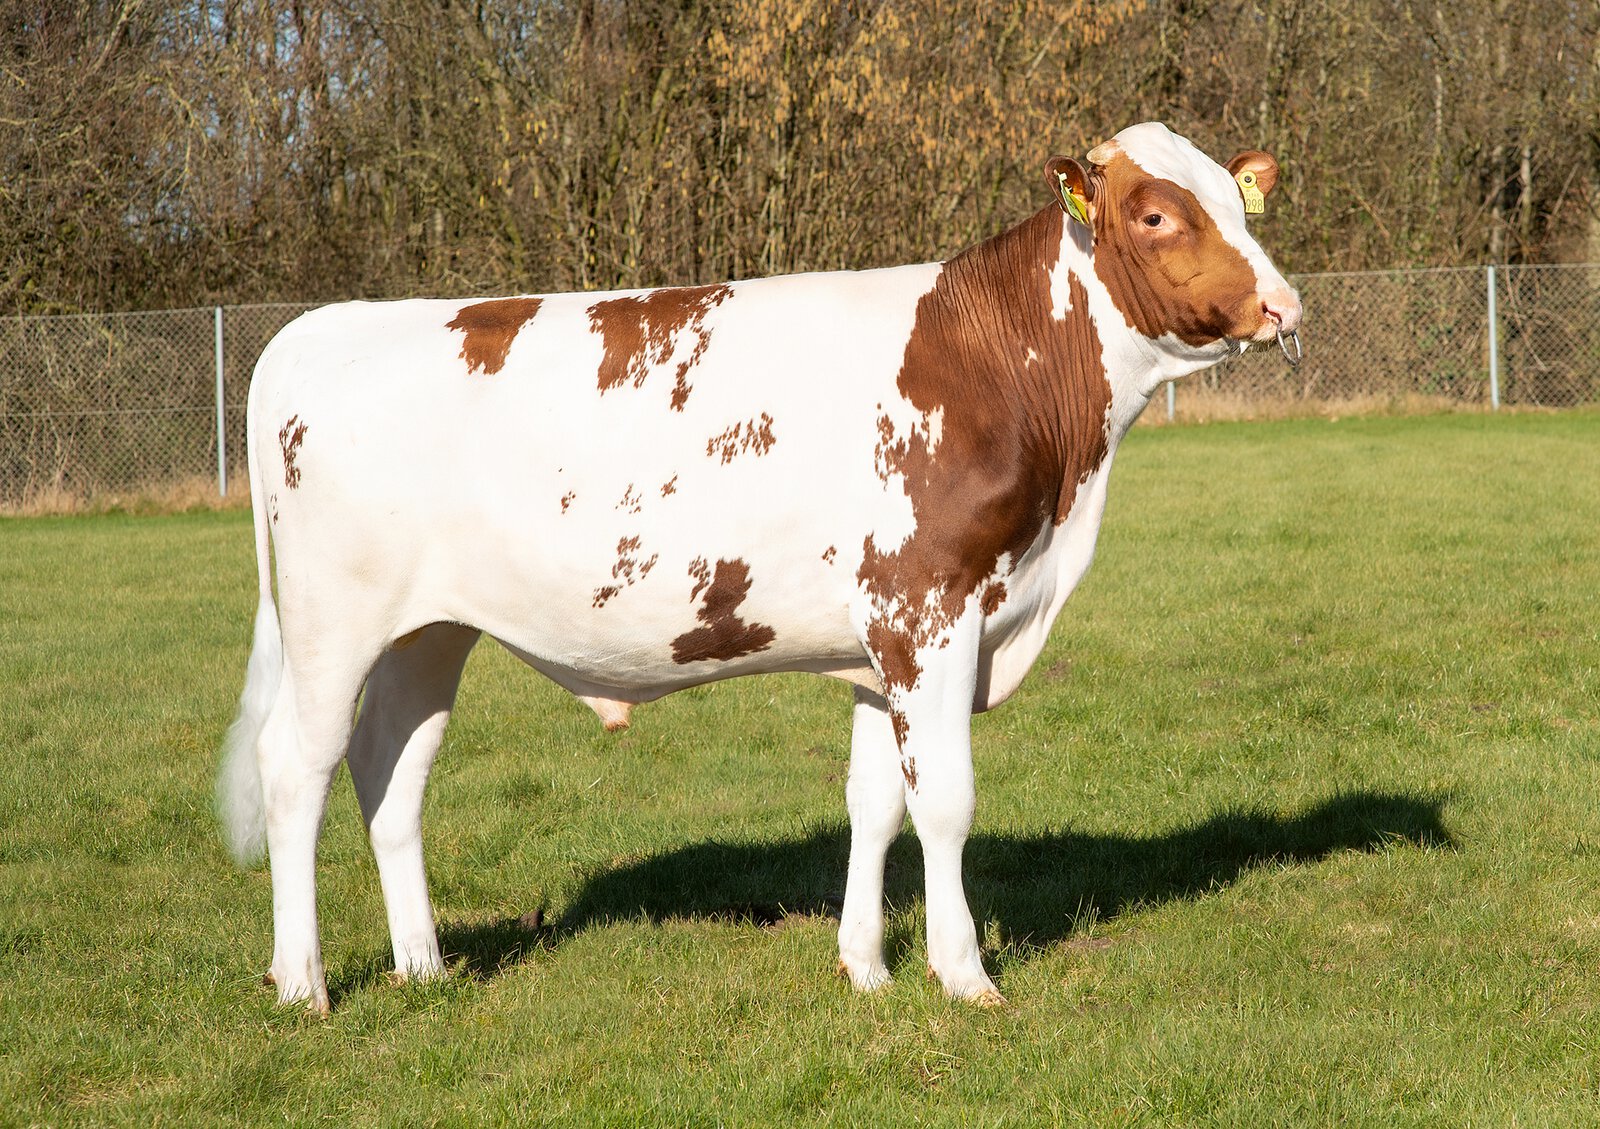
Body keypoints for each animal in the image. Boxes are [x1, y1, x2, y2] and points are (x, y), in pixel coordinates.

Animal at [218, 122, 1302, 1013]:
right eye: (1156, 213)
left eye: (1239, 199)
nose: (1282, 302)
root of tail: (326, 324)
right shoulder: (930, 610)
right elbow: (945, 801)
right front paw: (962, 974)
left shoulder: (879, 637)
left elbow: (875, 804)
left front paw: (865, 965)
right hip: (331, 622)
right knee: (297, 768)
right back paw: (304, 983)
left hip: (429, 630)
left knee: (390, 770)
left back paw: (426, 966)